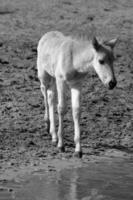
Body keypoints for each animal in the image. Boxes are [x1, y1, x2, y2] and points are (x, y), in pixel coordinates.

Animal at [37, 30, 117, 158]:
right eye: (101, 61)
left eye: (113, 60)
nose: (112, 83)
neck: (74, 60)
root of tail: (47, 34)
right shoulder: (61, 81)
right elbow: (62, 108)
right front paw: (61, 145)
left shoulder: (77, 84)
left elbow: (76, 111)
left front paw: (78, 150)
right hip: (44, 76)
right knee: (45, 94)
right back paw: (48, 126)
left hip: (53, 79)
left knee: (51, 98)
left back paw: (53, 135)